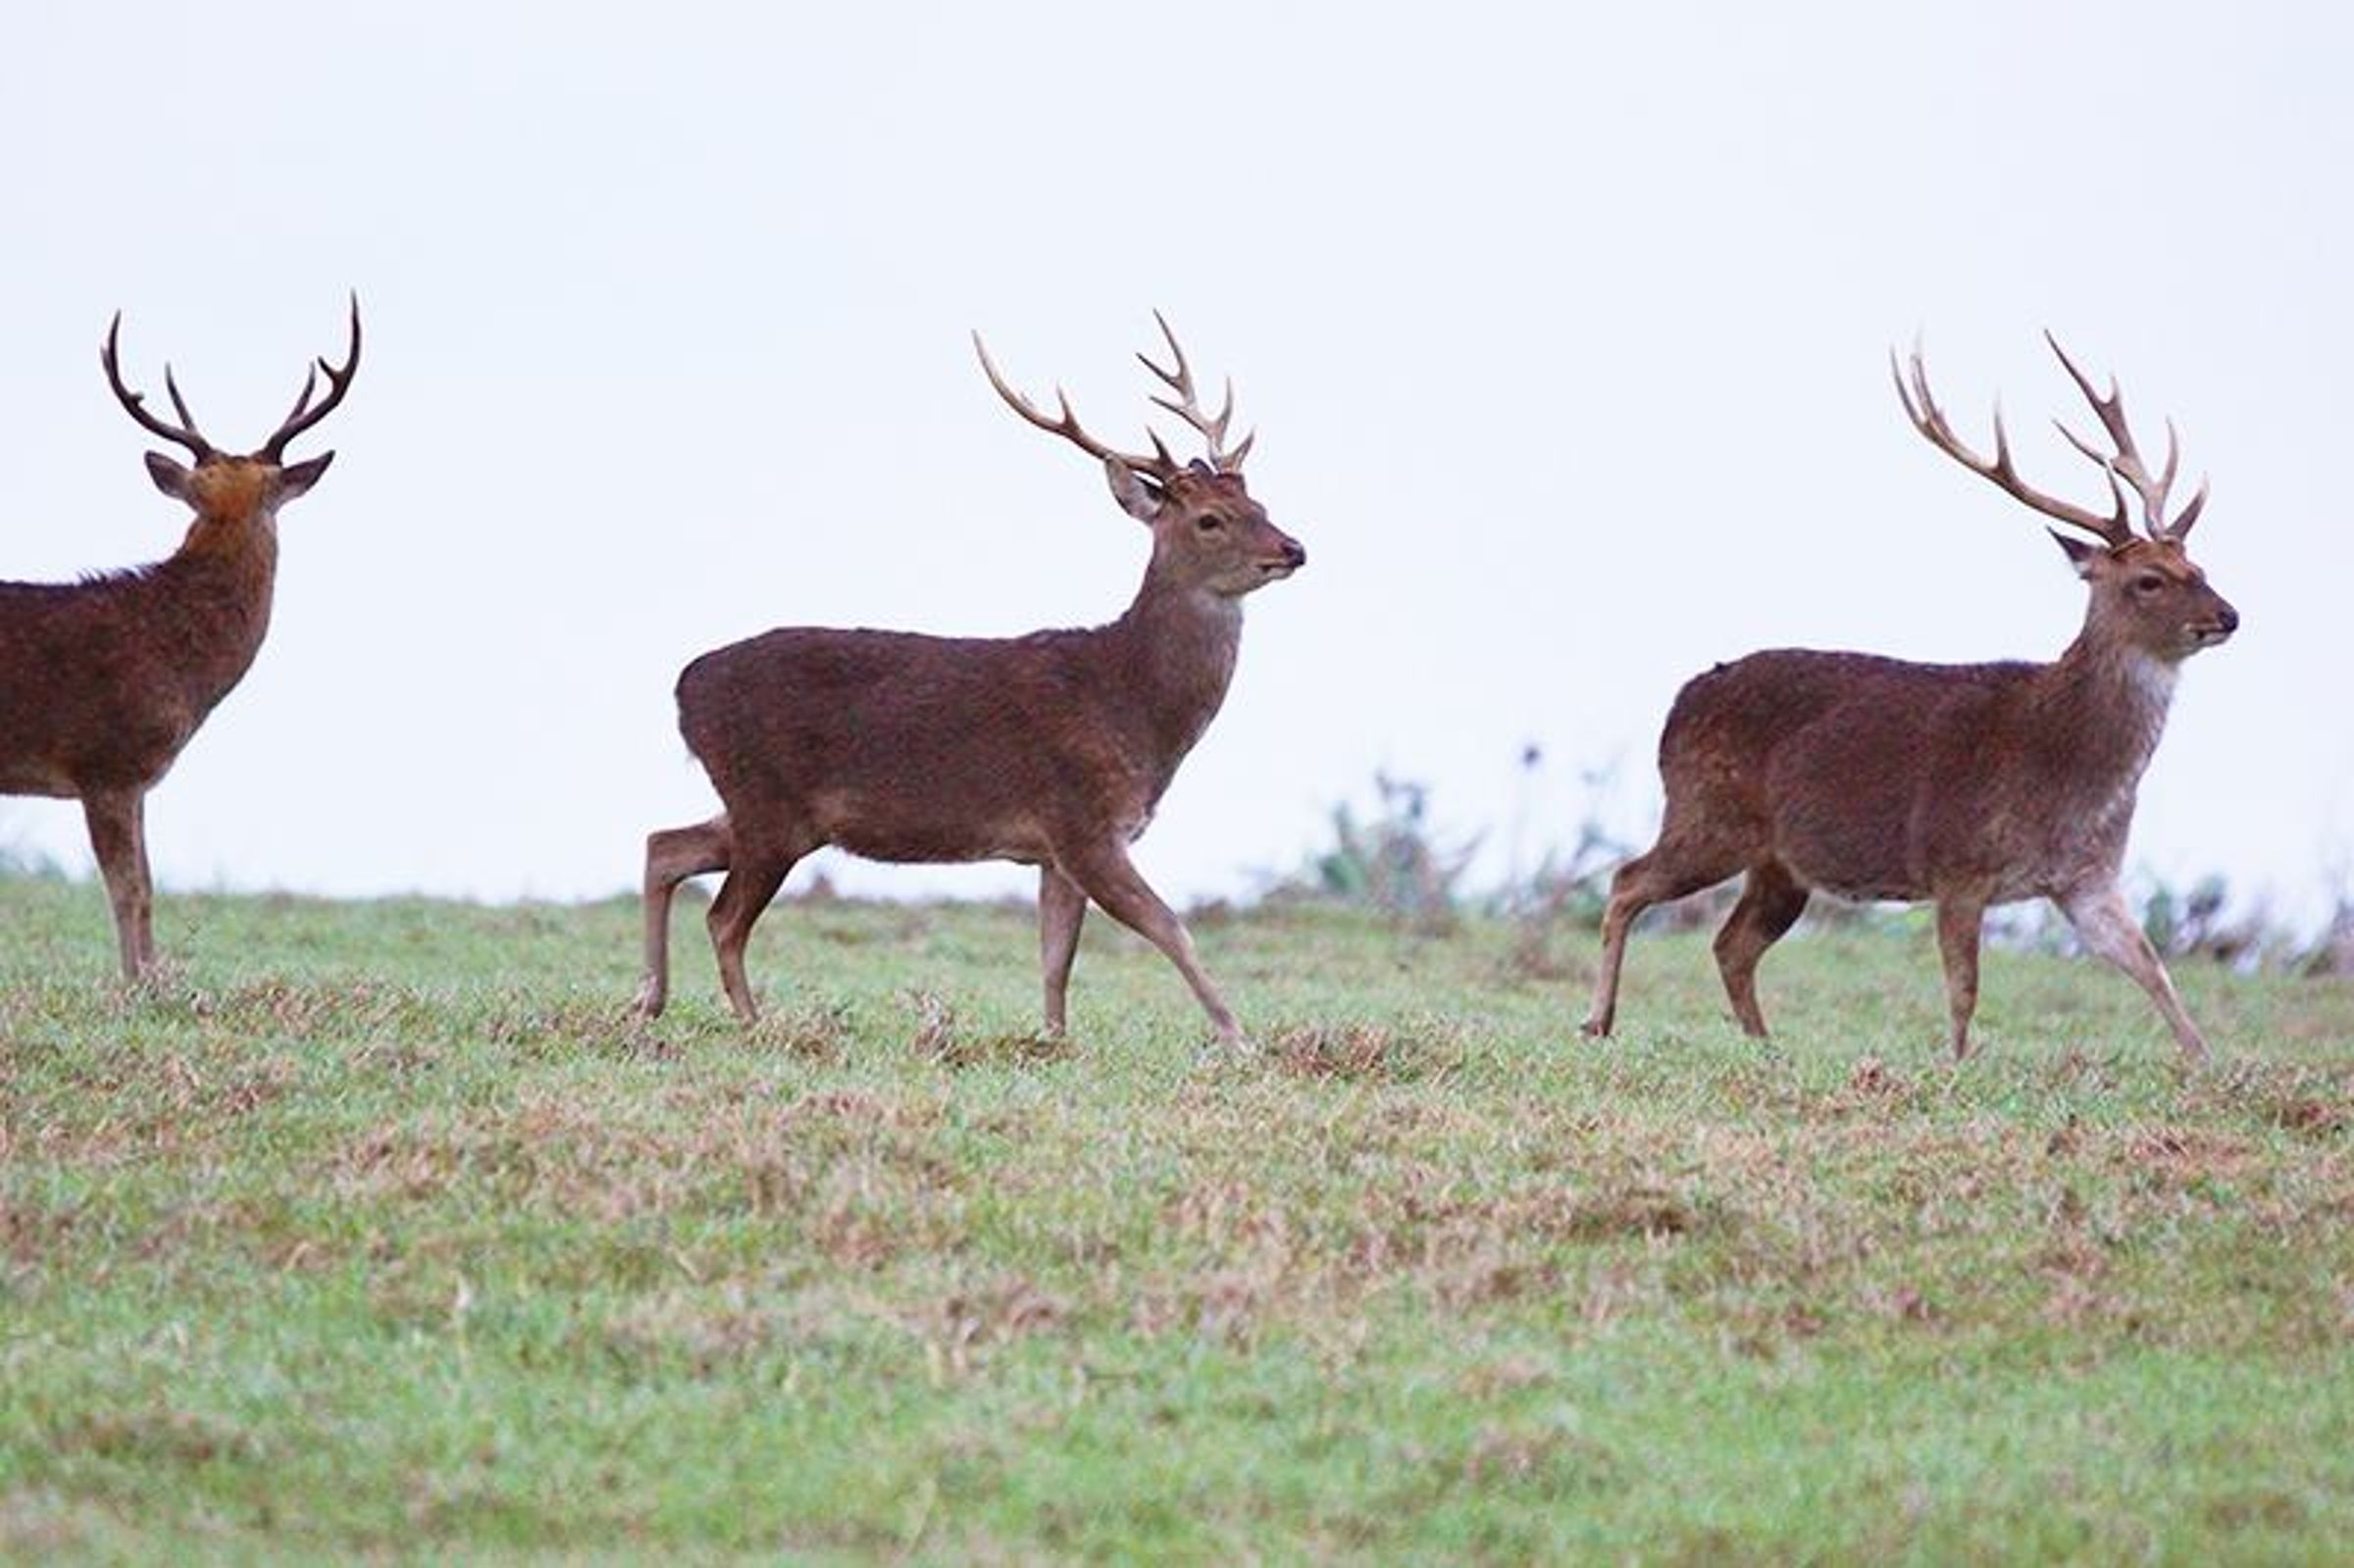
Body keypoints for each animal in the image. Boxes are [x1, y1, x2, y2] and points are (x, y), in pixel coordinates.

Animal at [0, 301, 360, 981]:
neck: (173, 655)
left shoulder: (137, 779)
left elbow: (146, 886)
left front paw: (150, 976)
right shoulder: (107, 762)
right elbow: (130, 889)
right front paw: (139, 983)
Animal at [633, 315, 1305, 1044]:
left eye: (1260, 502)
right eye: (1210, 519)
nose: (1294, 548)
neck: (1133, 707)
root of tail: (683, 688)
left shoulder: (1055, 850)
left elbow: (1055, 961)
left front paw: (1053, 1041)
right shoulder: (1084, 822)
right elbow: (1172, 929)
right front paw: (1240, 1041)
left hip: (767, 809)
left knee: (664, 846)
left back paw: (650, 999)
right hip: (768, 801)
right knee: (723, 917)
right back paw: (754, 1022)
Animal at [1582, 335, 2238, 1062]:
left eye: (2199, 568)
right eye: (2149, 580)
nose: (2228, 616)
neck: (2068, 767)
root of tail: (1677, 704)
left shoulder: (2088, 878)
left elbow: (2154, 970)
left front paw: (2206, 1062)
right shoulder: (1958, 860)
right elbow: (1964, 988)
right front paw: (1957, 1064)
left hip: (1780, 861)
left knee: (1732, 943)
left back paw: (1764, 1044)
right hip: (1709, 813)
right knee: (1628, 881)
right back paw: (1599, 1021)